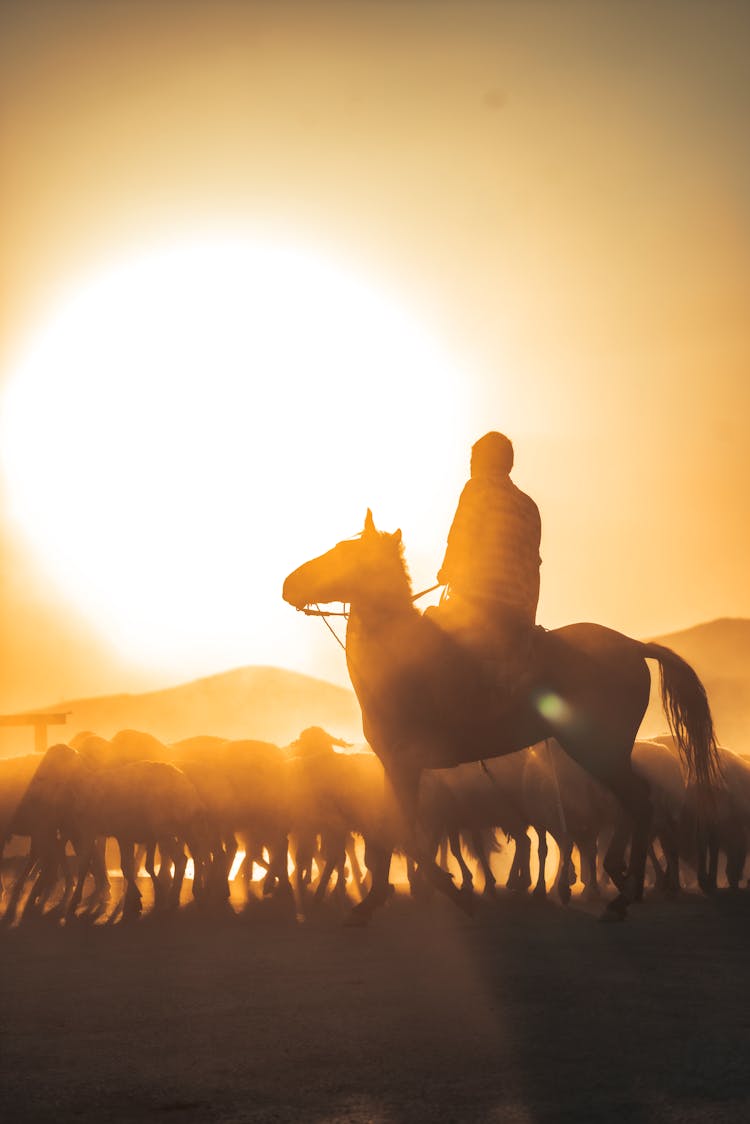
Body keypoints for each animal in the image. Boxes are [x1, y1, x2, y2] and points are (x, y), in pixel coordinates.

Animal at [281, 510, 719, 921]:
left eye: (345, 551)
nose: (288, 584)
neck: (397, 659)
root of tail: (632, 645)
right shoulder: (393, 766)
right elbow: (392, 831)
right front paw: (374, 900)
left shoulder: (405, 763)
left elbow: (403, 833)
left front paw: (449, 892)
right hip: (607, 752)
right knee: (633, 802)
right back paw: (623, 882)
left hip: (597, 749)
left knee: (636, 802)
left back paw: (621, 892)